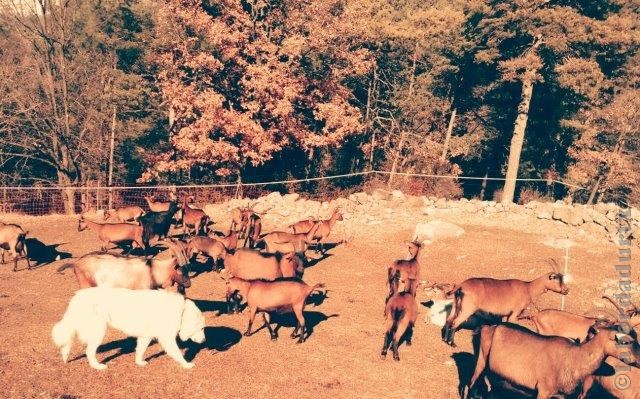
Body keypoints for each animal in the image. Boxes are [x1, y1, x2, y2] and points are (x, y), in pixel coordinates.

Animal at [54, 290, 208, 370]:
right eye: (201, 328)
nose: (204, 341)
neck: (181, 311)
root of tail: (78, 295)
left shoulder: (145, 337)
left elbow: (140, 350)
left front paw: (139, 362)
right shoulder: (167, 339)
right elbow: (177, 353)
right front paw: (186, 364)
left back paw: (65, 355)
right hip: (99, 331)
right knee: (89, 351)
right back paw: (97, 366)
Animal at [464, 322, 640, 399]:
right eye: (625, 341)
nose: (639, 359)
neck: (573, 357)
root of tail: (484, 327)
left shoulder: (560, 395)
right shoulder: (543, 391)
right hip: (480, 361)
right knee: (469, 385)